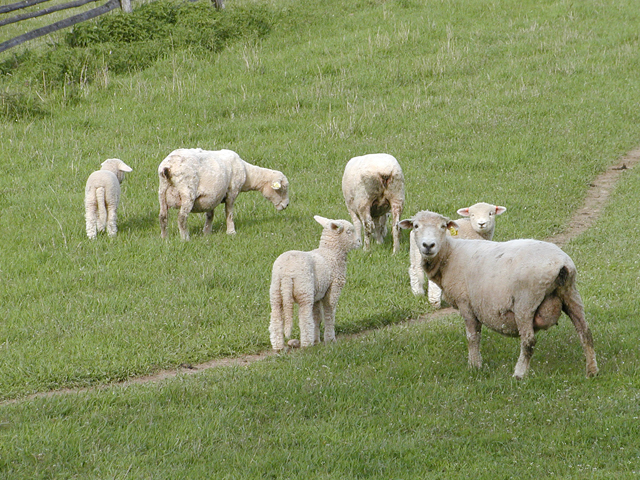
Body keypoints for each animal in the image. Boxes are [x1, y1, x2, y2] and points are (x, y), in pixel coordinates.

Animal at [158, 148, 289, 240]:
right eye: (283, 189)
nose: (287, 205)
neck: (248, 174)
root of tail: (168, 167)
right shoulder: (232, 191)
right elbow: (229, 212)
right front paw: (231, 232)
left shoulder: (211, 196)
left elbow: (210, 215)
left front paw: (207, 233)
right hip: (187, 190)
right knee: (181, 218)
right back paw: (185, 238)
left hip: (162, 192)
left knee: (163, 217)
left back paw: (165, 238)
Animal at [269, 215, 361, 351]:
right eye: (349, 232)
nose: (360, 242)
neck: (330, 252)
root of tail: (286, 272)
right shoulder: (333, 288)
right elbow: (329, 312)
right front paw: (330, 339)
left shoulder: (317, 294)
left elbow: (317, 316)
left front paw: (317, 339)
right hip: (304, 289)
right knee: (304, 317)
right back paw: (307, 344)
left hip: (276, 290)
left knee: (276, 318)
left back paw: (278, 346)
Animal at [400, 210, 598, 379]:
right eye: (416, 226)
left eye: (442, 226)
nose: (428, 245)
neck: (449, 254)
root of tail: (561, 263)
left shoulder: (466, 303)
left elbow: (472, 337)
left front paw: (474, 366)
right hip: (571, 294)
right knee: (585, 332)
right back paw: (592, 371)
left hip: (526, 301)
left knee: (528, 340)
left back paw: (519, 374)